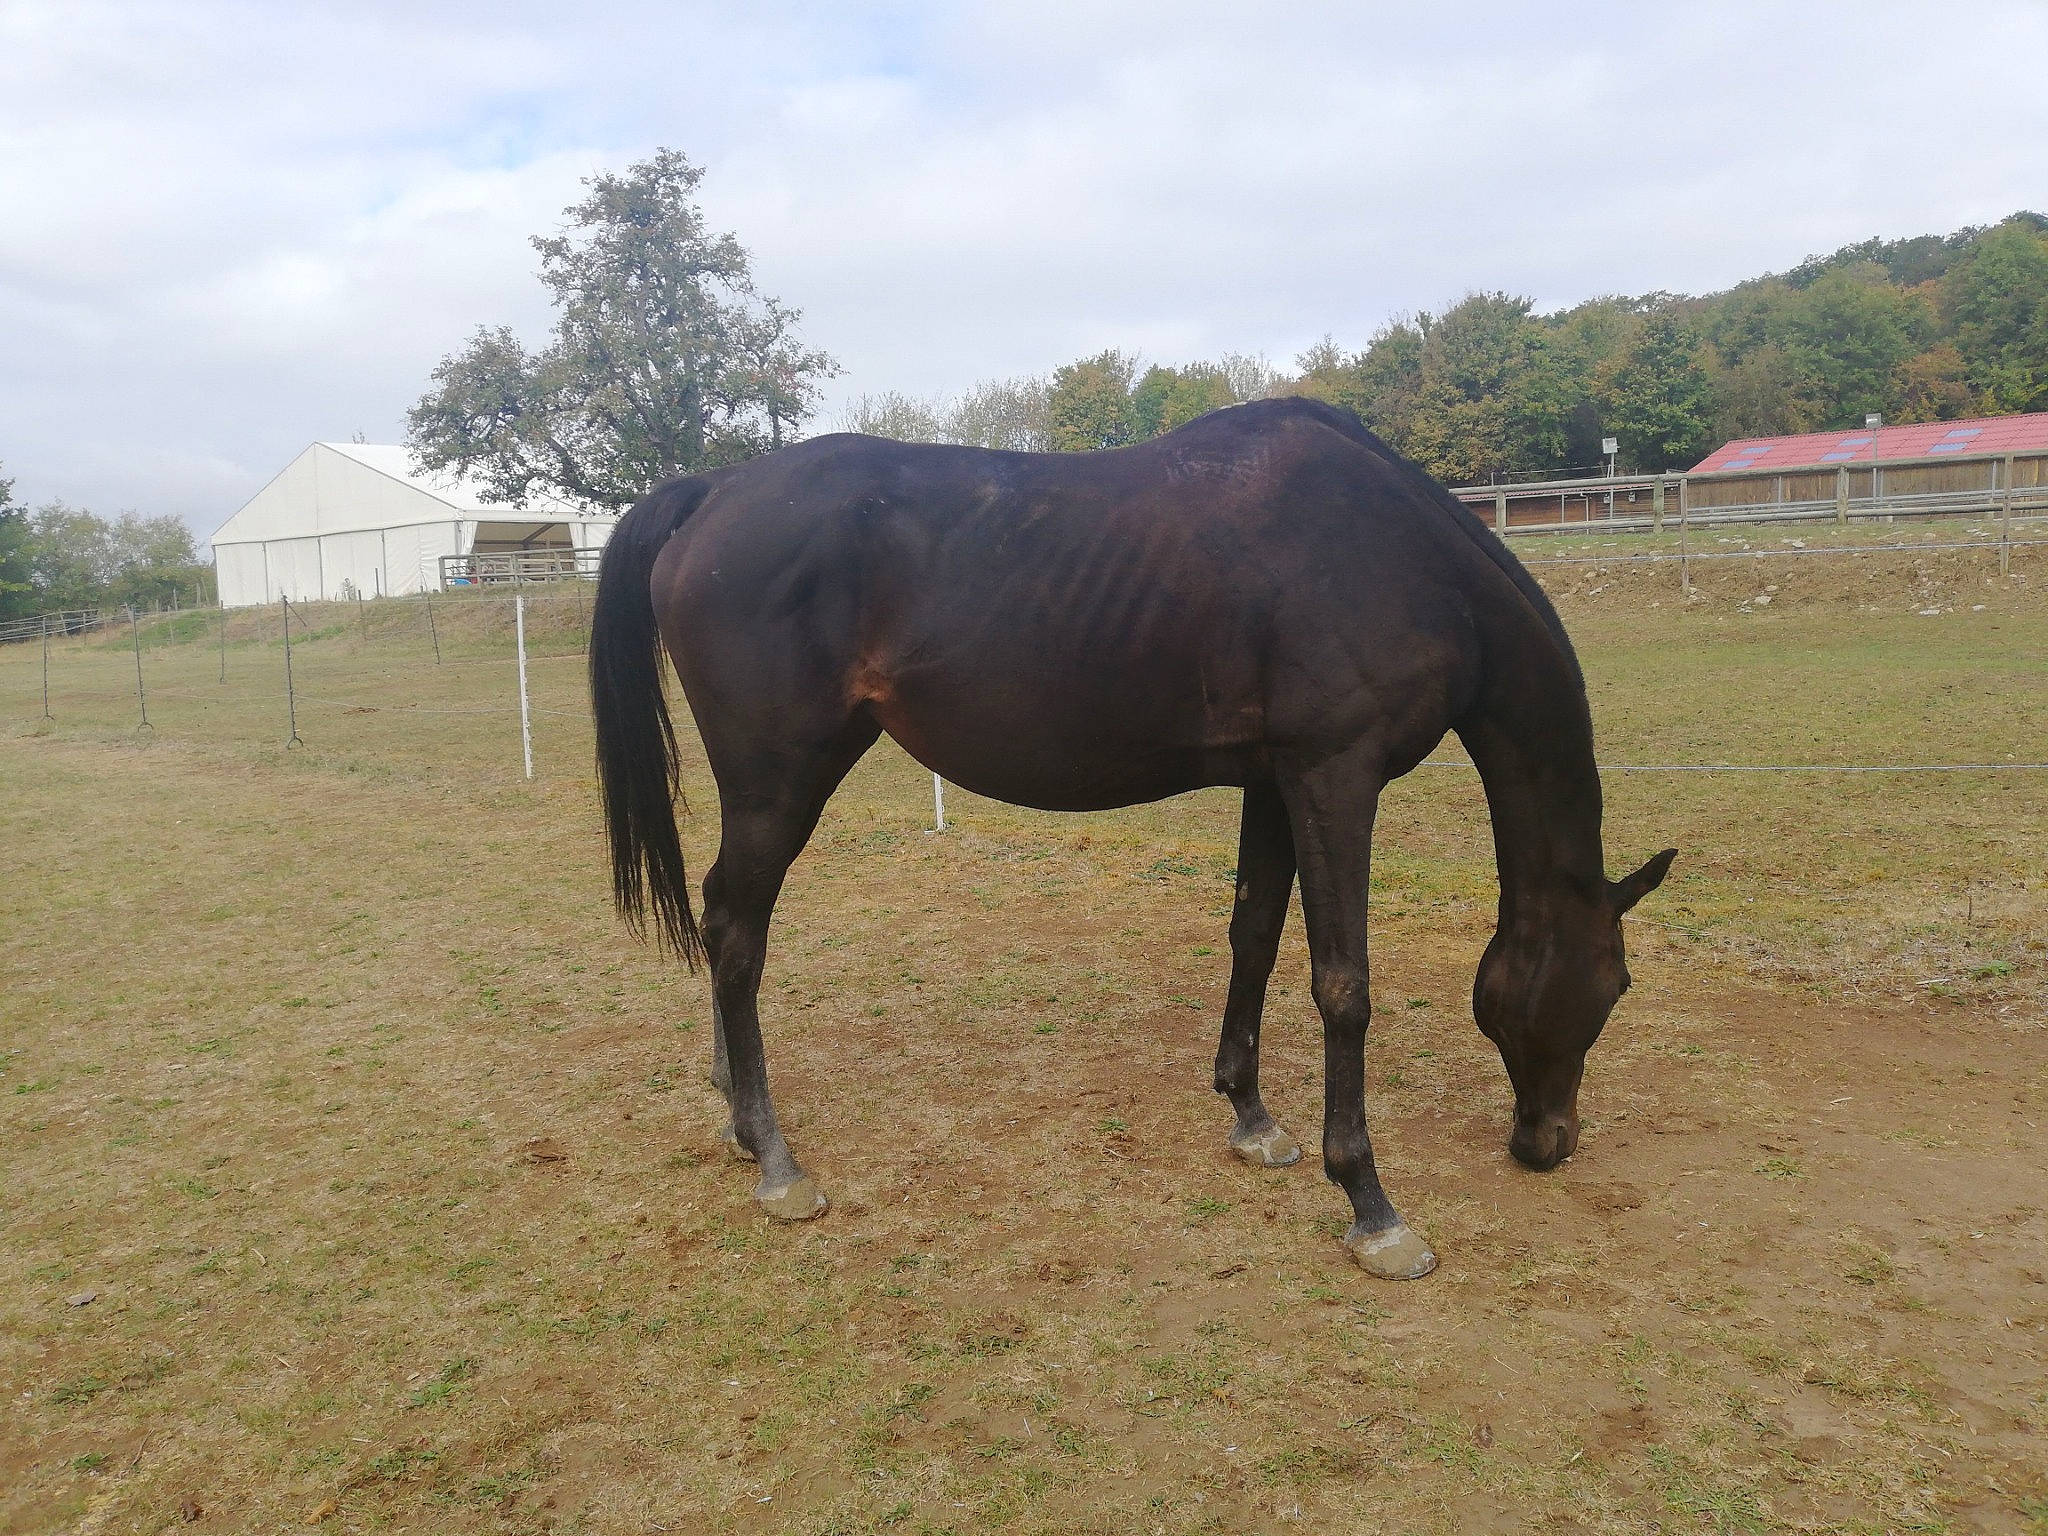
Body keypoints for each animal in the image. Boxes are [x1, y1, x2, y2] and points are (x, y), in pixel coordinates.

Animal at [589, 397, 1675, 1281]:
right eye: (1615, 985)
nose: (1549, 1141)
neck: (1394, 554)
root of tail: (712, 492)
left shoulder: (1274, 782)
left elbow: (1253, 937)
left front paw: (1251, 1117)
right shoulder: (1335, 776)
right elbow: (1342, 985)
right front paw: (1370, 1205)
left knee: (722, 922)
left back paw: (736, 1110)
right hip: (779, 782)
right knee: (735, 930)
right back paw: (775, 1160)